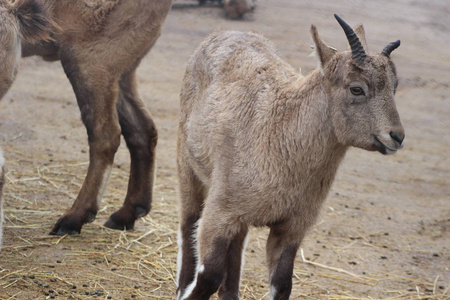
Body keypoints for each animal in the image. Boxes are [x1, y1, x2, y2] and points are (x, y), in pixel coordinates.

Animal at [0, 0, 172, 236]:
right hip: (123, 66)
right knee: (142, 129)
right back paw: (127, 213)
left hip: (92, 56)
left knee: (106, 134)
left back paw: (73, 219)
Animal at [178, 14, 406, 300]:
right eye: (356, 89)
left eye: (394, 86)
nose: (397, 136)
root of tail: (225, 32)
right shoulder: (219, 212)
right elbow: (208, 275)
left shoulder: (292, 225)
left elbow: (282, 283)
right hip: (188, 162)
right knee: (188, 221)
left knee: (237, 242)